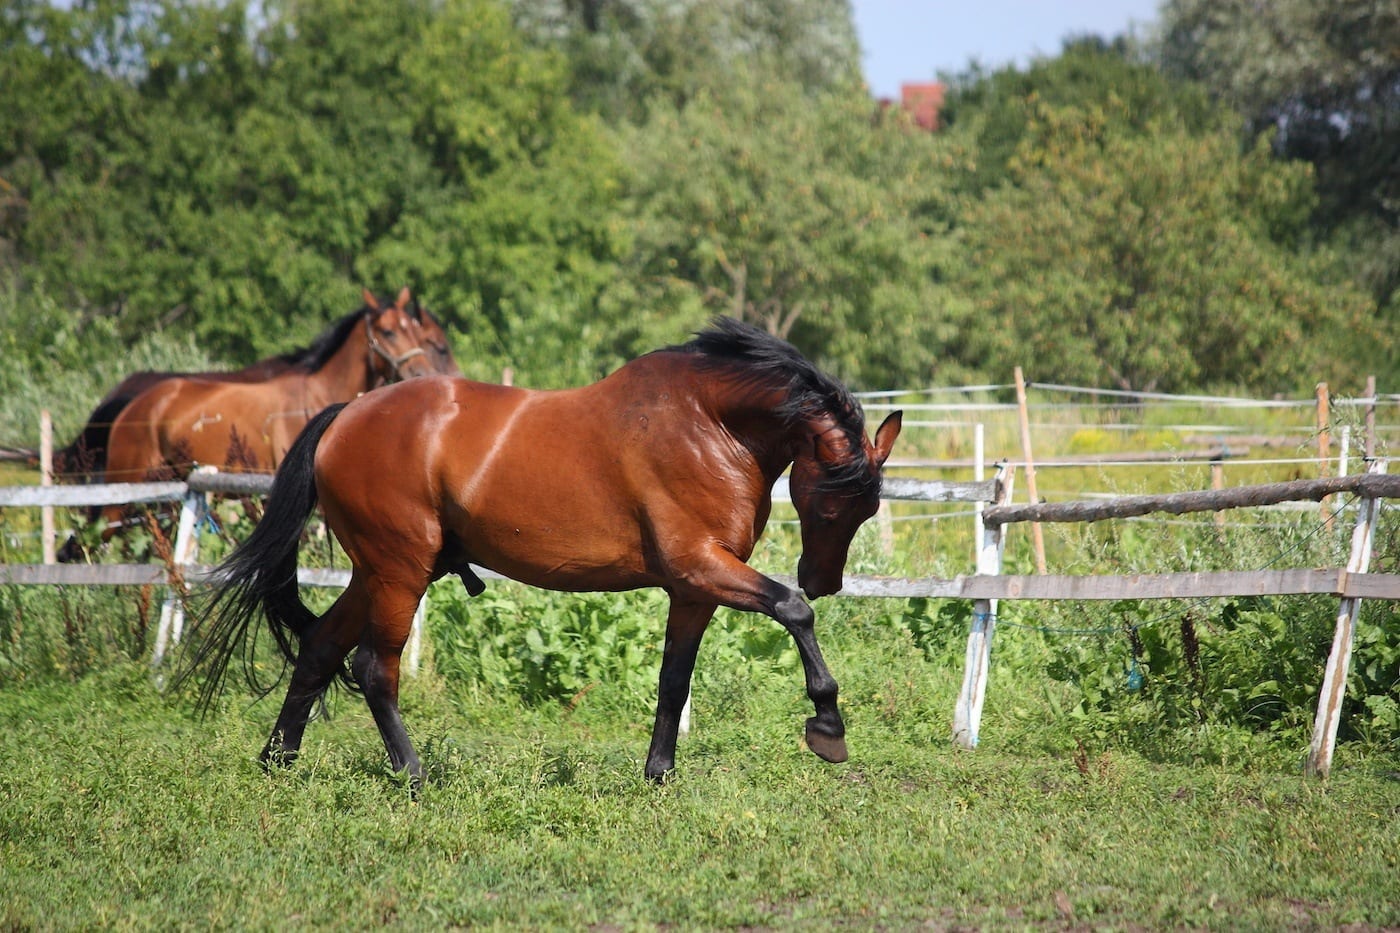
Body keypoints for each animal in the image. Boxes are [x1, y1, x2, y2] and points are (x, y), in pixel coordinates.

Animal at [186, 316, 901, 778]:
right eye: (832, 501)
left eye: (869, 507)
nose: (827, 579)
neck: (709, 424)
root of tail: (347, 414)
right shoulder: (703, 567)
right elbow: (792, 611)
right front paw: (827, 725)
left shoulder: (694, 587)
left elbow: (674, 680)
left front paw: (659, 773)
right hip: (399, 571)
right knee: (373, 669)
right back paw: (414, 774)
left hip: (377, 573)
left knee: (318, 650)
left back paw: (277, 762)